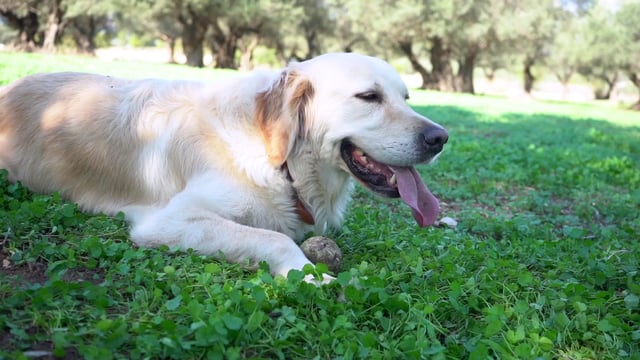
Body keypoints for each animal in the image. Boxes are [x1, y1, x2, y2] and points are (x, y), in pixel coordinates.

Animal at [0, 52, 448, 282]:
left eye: (406, 97)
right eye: (369, 96)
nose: (440, 137)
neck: (280, 162)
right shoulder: (170, 221)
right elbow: (274, 239)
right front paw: (312, 276)